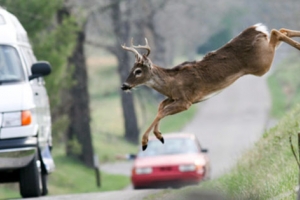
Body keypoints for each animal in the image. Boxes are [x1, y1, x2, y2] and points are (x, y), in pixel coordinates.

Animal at [120, 23, 300, 150]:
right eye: (130, 69)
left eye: (137, 71)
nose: (124, 86)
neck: (171, 83)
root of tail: (256, 29)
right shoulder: (174, 98)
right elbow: (160, 106)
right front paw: (159, 135)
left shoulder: (186, 101)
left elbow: (161, 111)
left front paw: (145, 142)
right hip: (264, 56)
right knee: (280, 30)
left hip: (262, 65)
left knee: (276, 31)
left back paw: (297, 46)